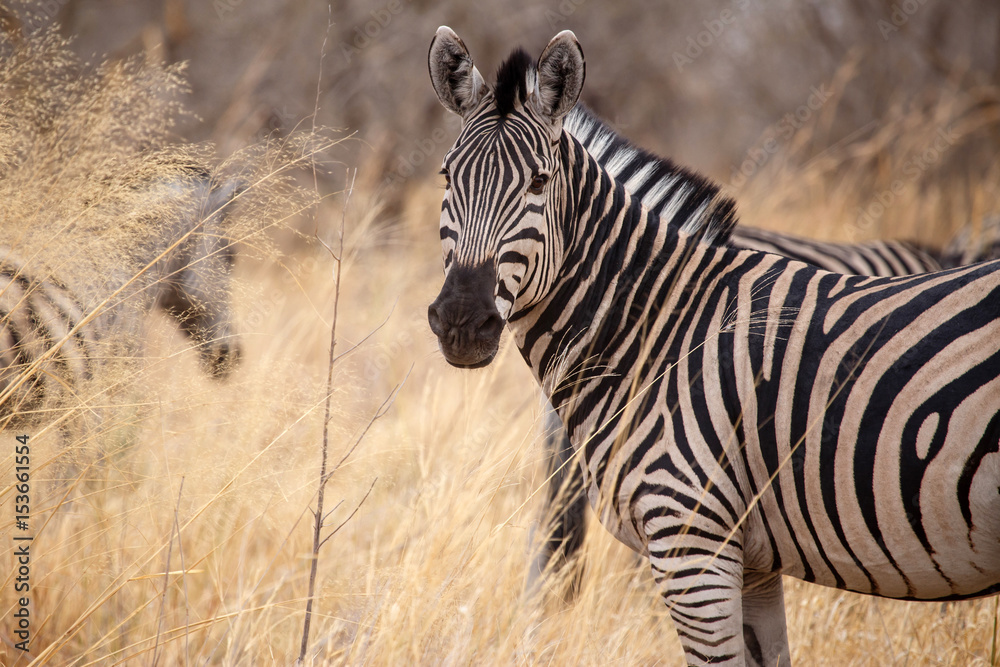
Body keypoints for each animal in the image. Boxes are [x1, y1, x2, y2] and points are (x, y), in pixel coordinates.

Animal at [426, 27, 1000, 666]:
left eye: (539, 182)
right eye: (447, 177)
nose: (461, 321)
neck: (658, 333)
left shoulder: (692, 544)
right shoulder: (752, 561)